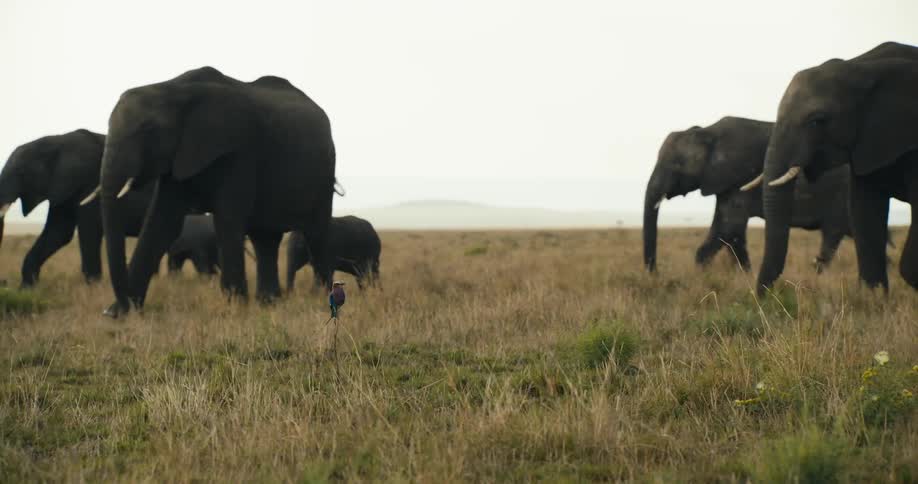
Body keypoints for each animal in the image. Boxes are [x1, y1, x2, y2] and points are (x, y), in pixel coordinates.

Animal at [0, 130, 151, 286]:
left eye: (21, 172)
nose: (4, 282)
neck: (57, 142)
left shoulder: (91, 183)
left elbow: (89, 230)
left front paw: (93, 288)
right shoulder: (63, 189)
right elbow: (58, 232)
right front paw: (26, 288)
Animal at [99, 66, 336, 317]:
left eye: (149, 129)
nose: (110, 310)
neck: (171, 89)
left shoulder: (239, 150)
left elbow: (227, 220)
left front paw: (236, 307)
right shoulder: (180, 156)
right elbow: (162, 224)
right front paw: (120, 315)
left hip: (324, 172)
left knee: (316, 232)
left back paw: (321, 297)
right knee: (265, 238)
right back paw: (269, 303)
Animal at [644, 117, 854, 274]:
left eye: (676, 165)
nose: (655, 273)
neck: (709, 133)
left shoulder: (741, 177)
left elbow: (730, 227)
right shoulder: (724, 183)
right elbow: (728, 229)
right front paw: (743, 276)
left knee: (831, 236)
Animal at [757, 41, 918, 292]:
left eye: (817, 121)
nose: (763, 296)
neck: (860, 66)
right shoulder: (867, 142)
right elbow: (864, 214)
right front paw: (873, 298)